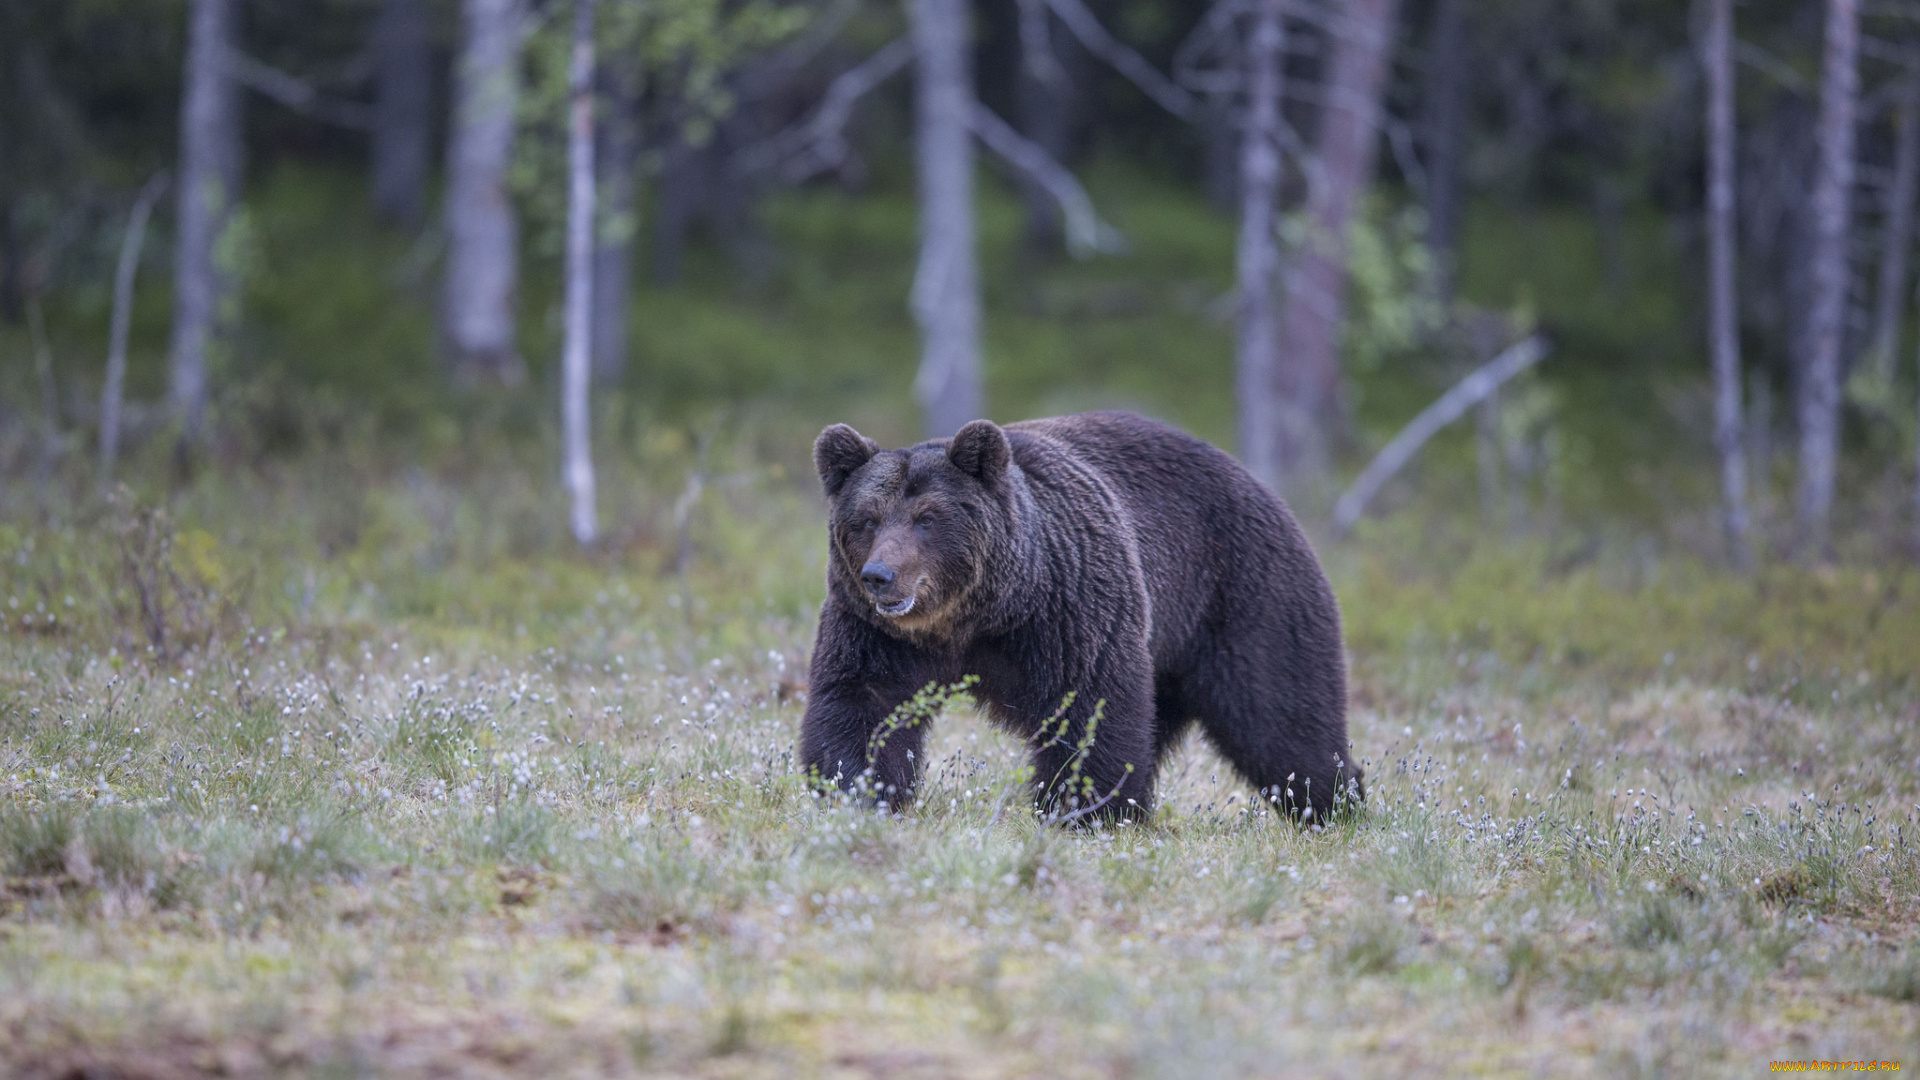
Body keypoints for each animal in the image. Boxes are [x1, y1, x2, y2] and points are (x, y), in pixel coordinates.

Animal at [802, 407, 1359, 818]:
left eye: (927, 518)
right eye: (867, 519)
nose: (880, 575)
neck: (976, 616)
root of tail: (1259, 483)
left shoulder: (1068, 605)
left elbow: (1089, 701)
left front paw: (1084, 807)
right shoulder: (876, 632)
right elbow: (864, 702)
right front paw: (854, 789)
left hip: (1241, 595)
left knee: (1279, 713)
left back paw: (1331, 802)